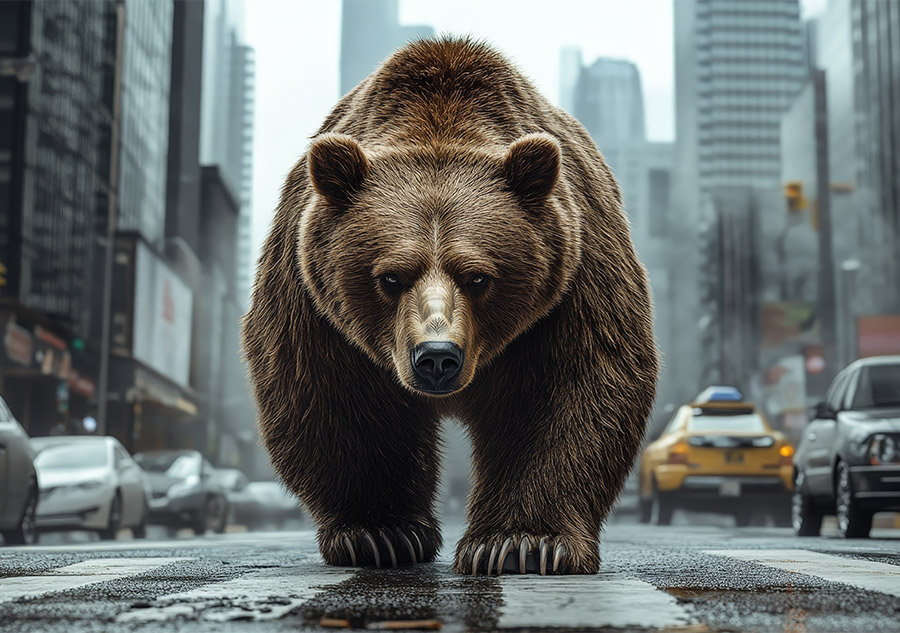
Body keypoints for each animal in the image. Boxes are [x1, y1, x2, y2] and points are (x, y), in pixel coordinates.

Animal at [242, 37, 658, 575]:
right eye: (390, 277)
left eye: (477, 276)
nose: (437, 357)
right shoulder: (314, 299)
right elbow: (335, 395)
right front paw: (380, 532)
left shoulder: (572, 279)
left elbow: (568, 388)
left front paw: (520, 542)